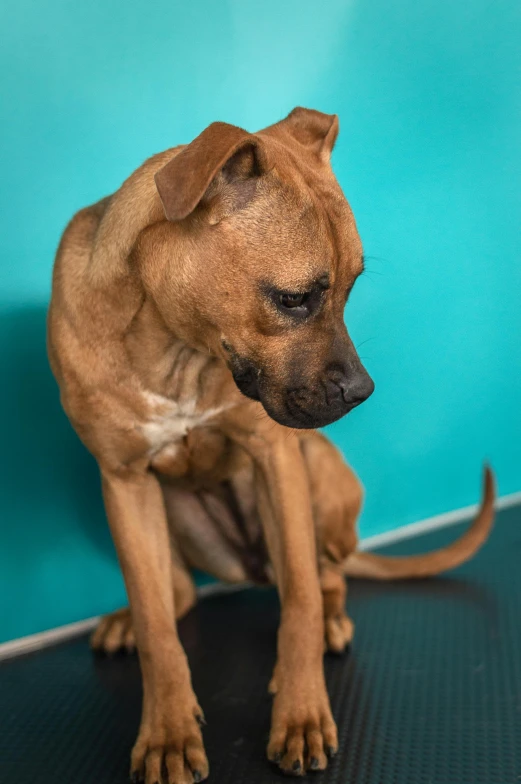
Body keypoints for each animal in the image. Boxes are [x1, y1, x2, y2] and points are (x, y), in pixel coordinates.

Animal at [46, 107, 494, 780]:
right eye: (295, 299)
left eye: (351, 288)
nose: (363, 392)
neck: (172, 344)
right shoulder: (123, 479)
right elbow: (157, 627)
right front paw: (167, 731)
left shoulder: (276, 458)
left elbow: (301, 604)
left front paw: (302, 713)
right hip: (165, 515)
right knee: (177, 593)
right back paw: (128, 621)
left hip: (323, 479)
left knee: (325, 575)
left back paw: (333, 618)